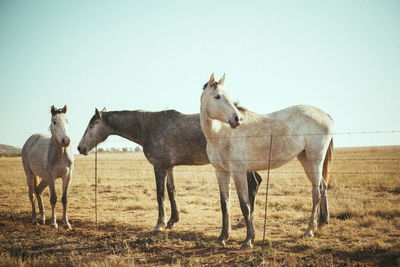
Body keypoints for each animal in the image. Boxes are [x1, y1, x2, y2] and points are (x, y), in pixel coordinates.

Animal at [200, 74, 334, 249]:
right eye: (217, 96)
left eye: (229, 96)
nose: (237, 119)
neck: (220, 133)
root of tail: (325, 115)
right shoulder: (221, 172)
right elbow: (225, 204)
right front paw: (222, 237)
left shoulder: (238, 172)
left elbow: (245, 205)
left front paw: (249, 240)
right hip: (305, 158)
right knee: (323, 187)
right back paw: (322, 222)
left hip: (314, 158)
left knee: (316, 192)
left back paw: (309, 230)